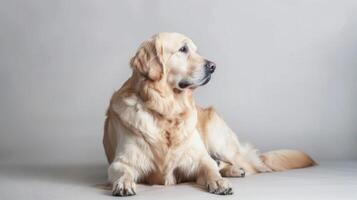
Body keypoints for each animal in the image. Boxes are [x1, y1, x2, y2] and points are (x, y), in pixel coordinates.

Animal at [103, 32, 314, 196]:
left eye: (195, 50)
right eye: (183, 49)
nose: (213, 66)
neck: (167, 111)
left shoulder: (198, 157)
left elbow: (209, 168)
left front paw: (219, 182)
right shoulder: (120, 162)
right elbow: (122, 171)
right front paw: (123, 184)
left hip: (219, 140)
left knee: (249, 164)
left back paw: (236, 169)